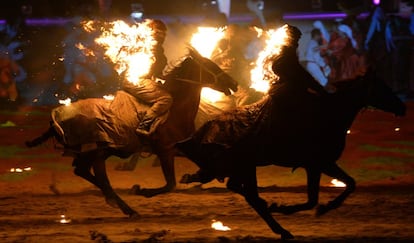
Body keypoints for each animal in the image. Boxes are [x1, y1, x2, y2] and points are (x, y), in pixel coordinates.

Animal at [26, 48, 236, 216]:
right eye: (210, 65)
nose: (234, 83)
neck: (175, 109)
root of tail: (57, 117)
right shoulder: (165, 151)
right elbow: (170, 184)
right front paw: (141, 190)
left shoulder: (181, 147)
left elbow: (208, 164)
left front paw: (196, 177)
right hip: (98, 152)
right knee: (96, 175)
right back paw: (126, 207)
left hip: (96, 152)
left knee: (82, 170)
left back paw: (118, 203)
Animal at [177, 71, 404, 239]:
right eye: (382, 87)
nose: (402, 107)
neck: (328, 115)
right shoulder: (317, 164)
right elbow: (315, 198)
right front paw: (291, 208)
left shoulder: (324, 164)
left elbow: (350, 184)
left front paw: (323, 208)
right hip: (246, 166)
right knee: (250, 195)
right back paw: (281, 228)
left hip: (244, 167)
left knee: (241, 190)